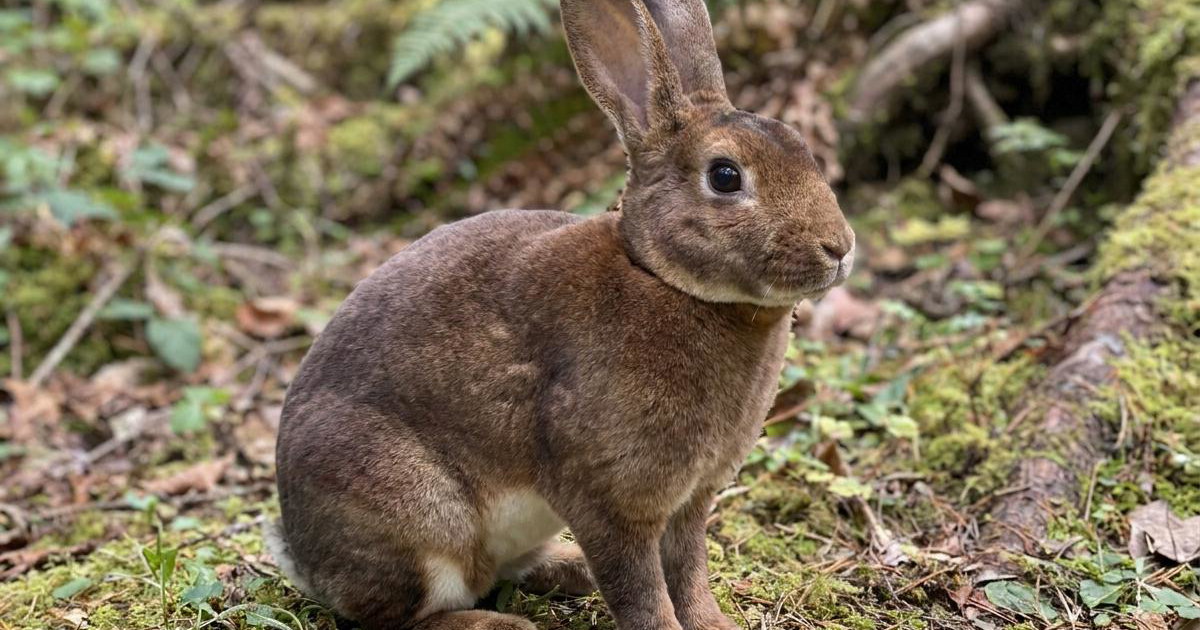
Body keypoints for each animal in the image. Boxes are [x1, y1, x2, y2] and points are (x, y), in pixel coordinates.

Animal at [267, 0, 855, 629]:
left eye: (801, 143)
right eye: (725, 176)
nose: (840, 247)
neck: (665, 280)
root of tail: (303, 556)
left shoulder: (690, 502)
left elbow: (689, 571)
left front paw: (713, 623)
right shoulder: (608, 499)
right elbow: (639, 587)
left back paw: (566, 571)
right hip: (419, 515)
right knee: (403, 614)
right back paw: (501, 624)